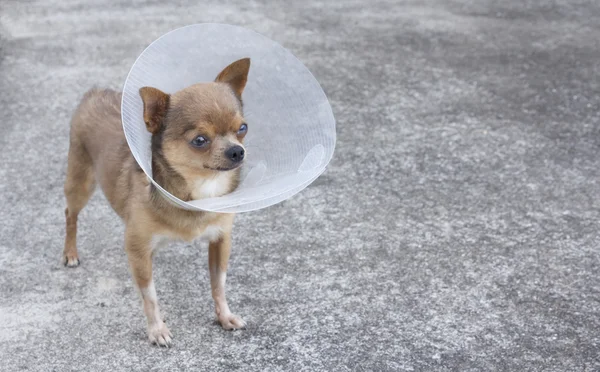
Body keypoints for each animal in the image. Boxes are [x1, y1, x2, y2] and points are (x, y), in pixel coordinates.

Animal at [60, 57, 248, 346]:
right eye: (200, 140)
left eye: (243, 129)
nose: (237, 151)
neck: (198, 191)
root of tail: (95, 92)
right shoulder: (138, 252)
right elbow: (150, 296)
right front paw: (157, 330)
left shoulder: (220, 240)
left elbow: (219, 284)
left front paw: (224, 316)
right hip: (81, 183)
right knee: (71, 213)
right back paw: (70, 253)